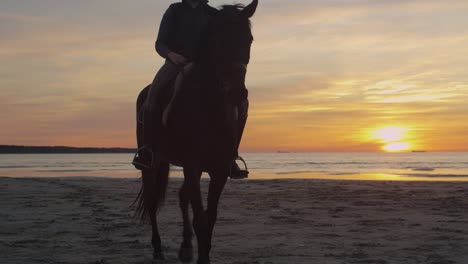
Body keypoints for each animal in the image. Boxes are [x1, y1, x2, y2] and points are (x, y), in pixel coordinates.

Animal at [135, 1, 258, 262]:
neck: (209, 105)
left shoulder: (219, 169)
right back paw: (158, 248)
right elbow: (200, 218)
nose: (237, 94)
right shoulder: (192, 166)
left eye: (249, 39)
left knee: (183, 198)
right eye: (218, 39)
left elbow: (209, 219)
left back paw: (185, 246)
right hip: (152, 162)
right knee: (152, 201)